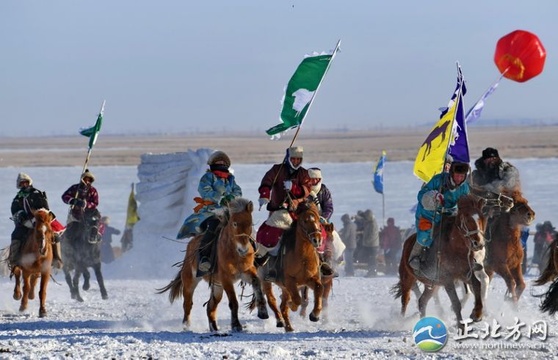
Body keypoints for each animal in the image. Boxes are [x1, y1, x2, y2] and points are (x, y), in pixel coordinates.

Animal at [156, 198, 270, 334]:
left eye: (250, 223)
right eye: (234, 224)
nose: (244, 250)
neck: (234, 253)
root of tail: (191, 244)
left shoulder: (246, 272)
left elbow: (256, 282)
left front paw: (263, 312)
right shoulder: (226, 279)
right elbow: (233, 302)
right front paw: (236, 325)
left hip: (217, 286)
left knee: (211, 306)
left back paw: (214, 328)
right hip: (190, 280)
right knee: (188, 303)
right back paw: (186, 326)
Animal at [260, 201, 324, 334]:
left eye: (318, 220)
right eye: (305, 221)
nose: (317, 239)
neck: (303, 257)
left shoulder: (310, 279)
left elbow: (319, 288)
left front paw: (315, 315)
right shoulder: (290, 281)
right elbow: (297, 300)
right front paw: (292, 306)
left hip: (285, 288)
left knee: (283, 306)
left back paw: (289, 327)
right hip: (265, 280)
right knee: (272, 301)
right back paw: (280, 321)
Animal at [392, 195, 488, 330]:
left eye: (481, 218)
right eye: (466, 219)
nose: (478, 243)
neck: (455, 248)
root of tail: (407, 241)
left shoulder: (465, 274)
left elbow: (477, 285)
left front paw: (477, 313)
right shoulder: (447, 279)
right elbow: (456, 302)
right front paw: (461, 325)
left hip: (432, 284)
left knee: (422, 301)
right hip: (407, 278)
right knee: (406, 299)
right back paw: (400, 321)